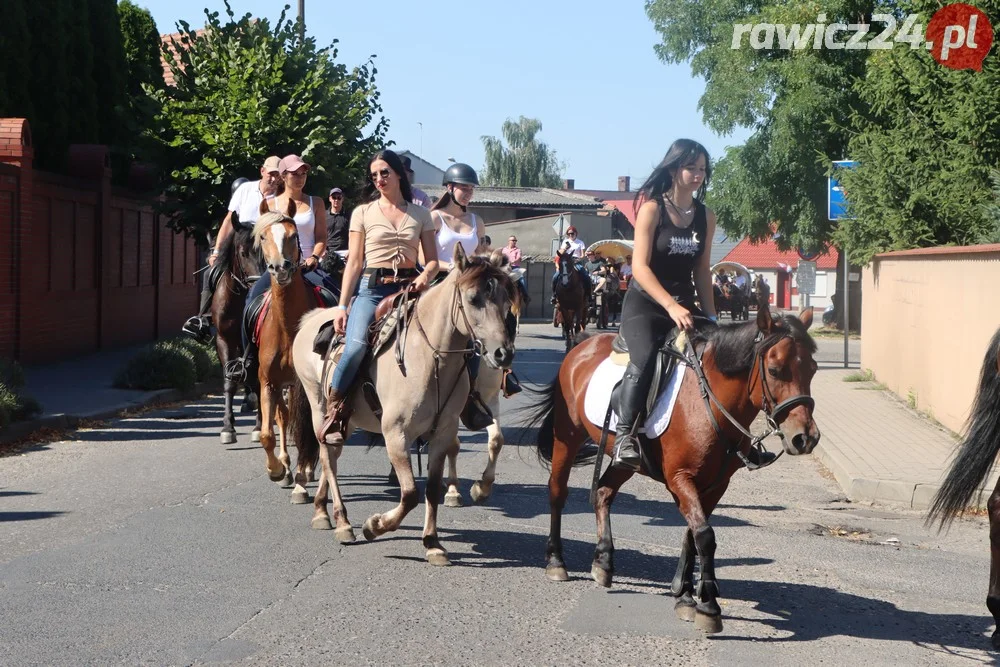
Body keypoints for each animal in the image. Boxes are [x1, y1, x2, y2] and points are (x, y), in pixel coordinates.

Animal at [292, 248, 516, 560]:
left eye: (508, 301)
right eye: (473, 298)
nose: (503, 354)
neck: (429, 358)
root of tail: (312, 318)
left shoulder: (447, 430)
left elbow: (433, 486)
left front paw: (433, 542)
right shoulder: (396, 434)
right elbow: (409, 493)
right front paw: (374, 526)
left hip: (347, 420)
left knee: (332, 456)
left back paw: (323, 511)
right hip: (319, 407)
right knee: (327, 457)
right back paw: (342, 521)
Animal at [524, 298, 820, 636]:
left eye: (812, 369)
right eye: (774, 369)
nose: (805, 438)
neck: (707, 404)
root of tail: (581, 345)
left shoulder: (716, 484)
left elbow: (693, 534)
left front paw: (685, 595)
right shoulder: (681, 479)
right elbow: (704, 535)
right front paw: (708, 606)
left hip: (623, 460)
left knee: (603, 492)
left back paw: (603, 561)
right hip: (567, 436)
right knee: (557, 492)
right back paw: (556, 561)